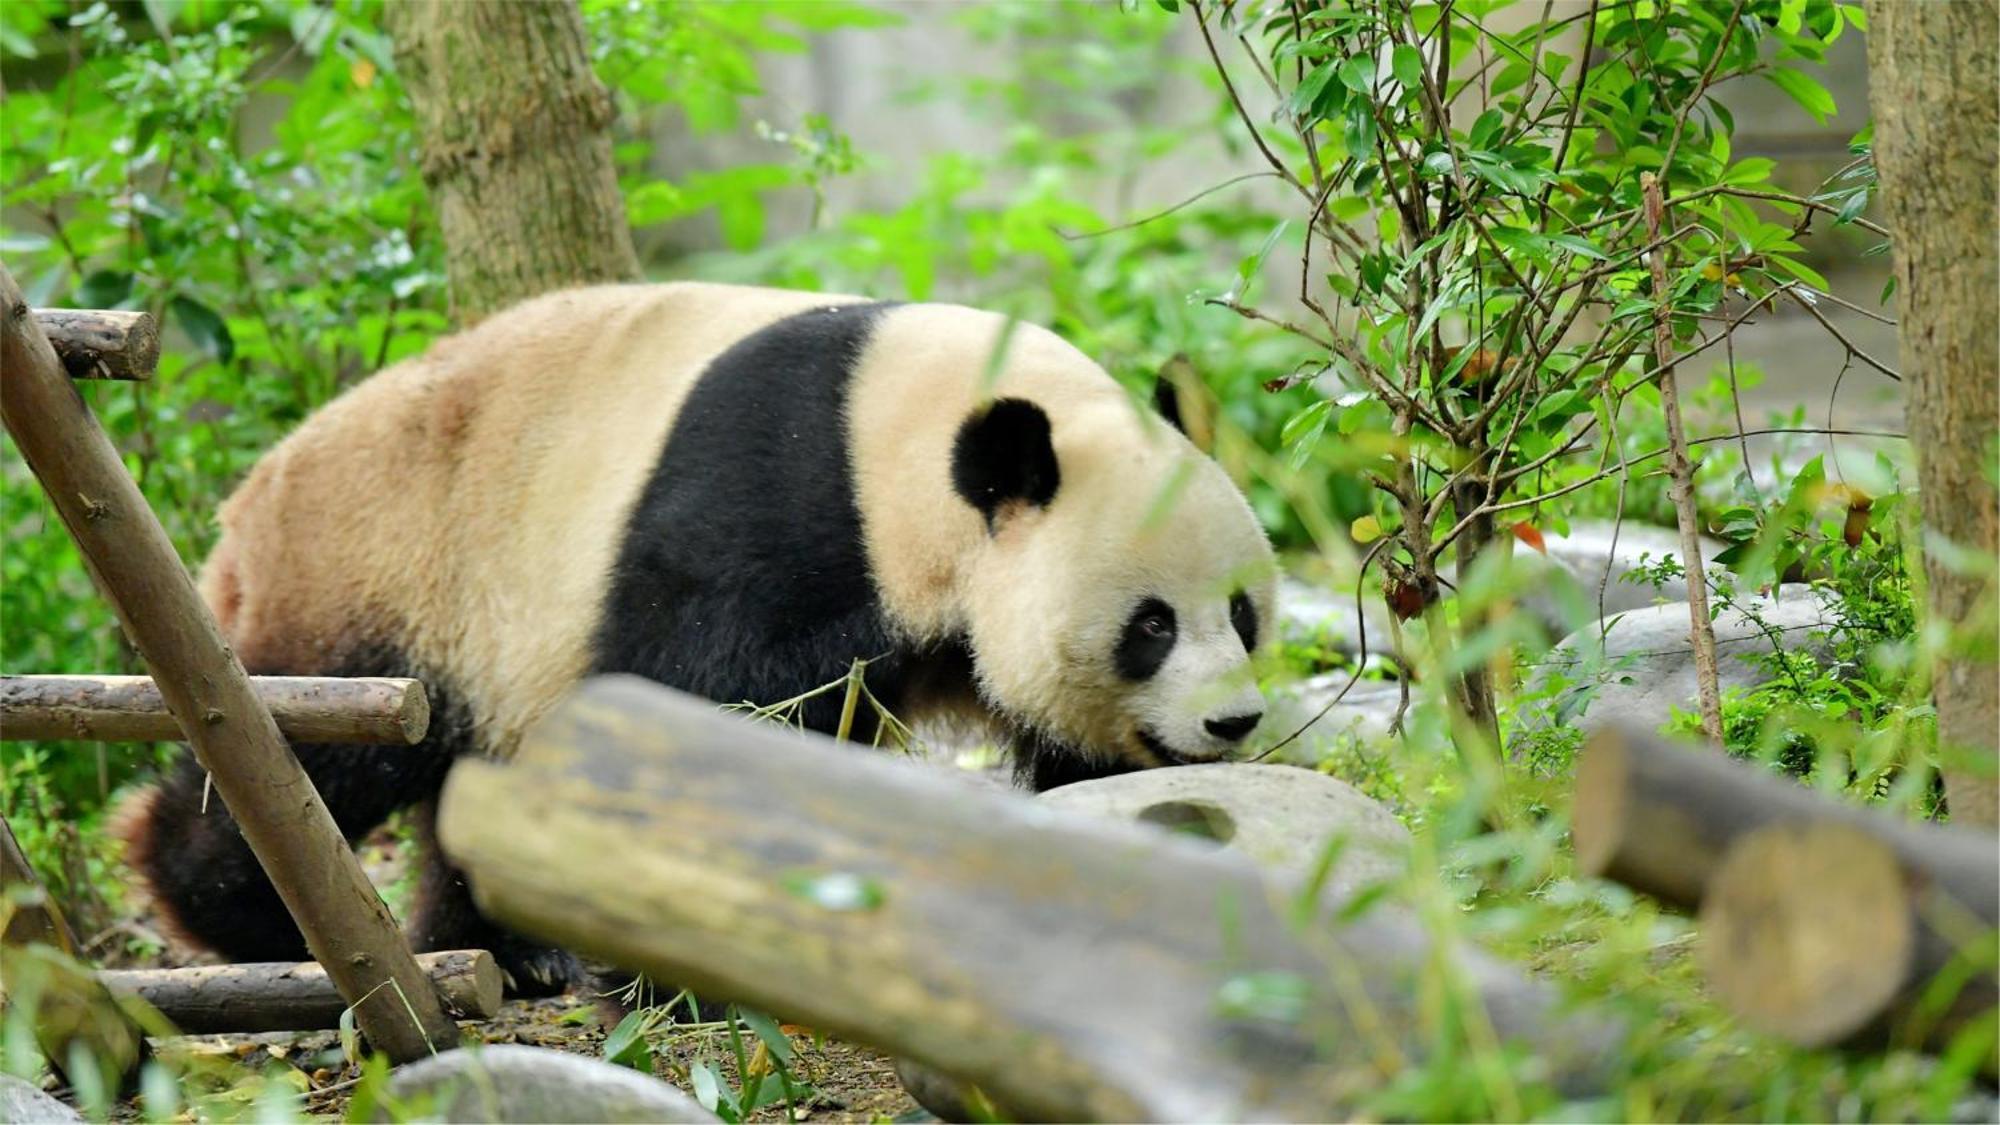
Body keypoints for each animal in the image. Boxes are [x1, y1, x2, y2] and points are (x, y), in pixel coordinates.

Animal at [121, 282, 1280, 988]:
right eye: (1149, 625)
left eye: (1242, 612)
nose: (1231, 722)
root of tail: (246, 504)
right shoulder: (776, 507)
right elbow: (705, 700)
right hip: (383, 577)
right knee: (309, 754)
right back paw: (234, 913)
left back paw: (507, 947)